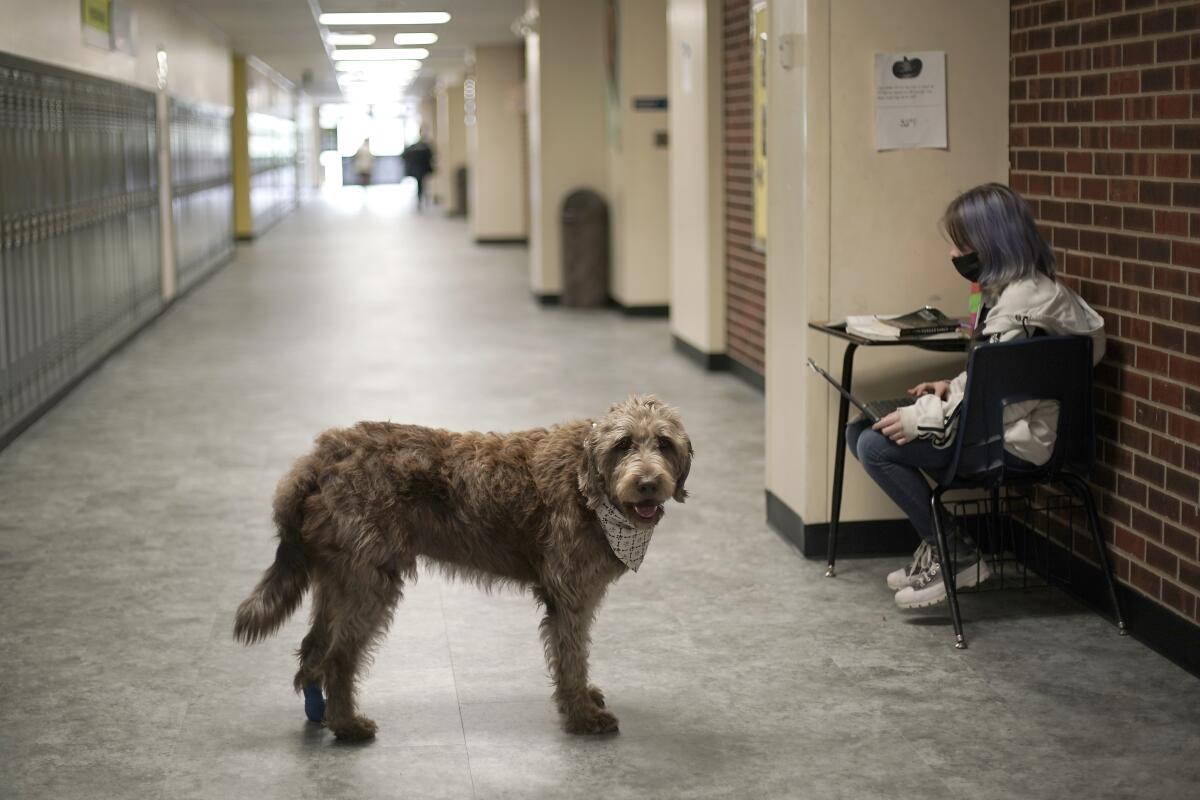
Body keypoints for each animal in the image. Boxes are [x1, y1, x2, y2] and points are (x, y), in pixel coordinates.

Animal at [231, 398, 696, 743]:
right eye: (623, 445)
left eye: (663, 443)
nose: (648, 484)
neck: (588, 487)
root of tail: (322, 456)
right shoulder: (569, 597)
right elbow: (571, 657)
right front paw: (581, 715)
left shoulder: (580, 596)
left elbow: (576, 654)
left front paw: (585, 700)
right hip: (369, 583)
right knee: (339, 658)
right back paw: (347, 725)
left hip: (340, 576)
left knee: (314, 647)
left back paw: (320, 711)